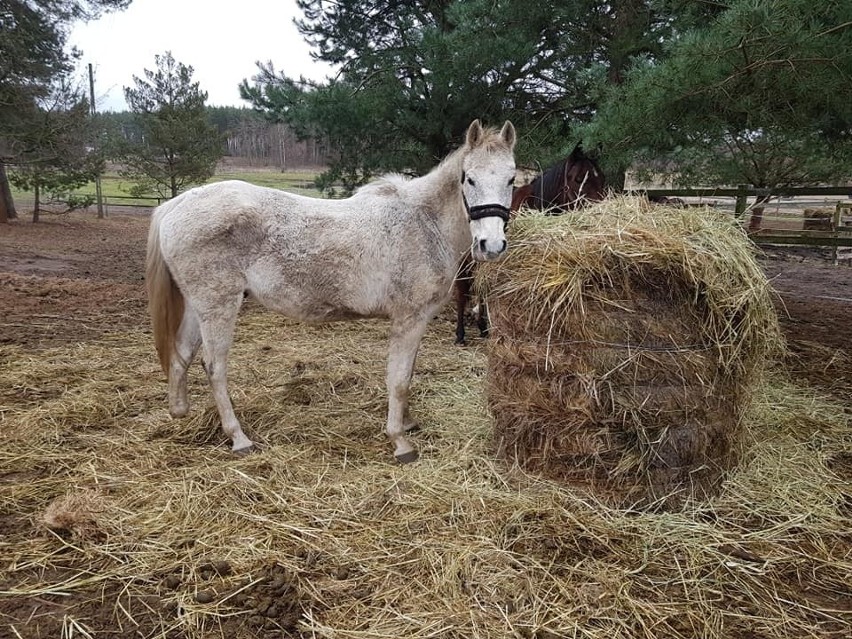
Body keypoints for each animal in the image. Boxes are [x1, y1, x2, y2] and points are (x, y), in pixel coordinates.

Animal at [146, 117, 516, 462]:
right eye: (469, 178)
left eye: (511, 179)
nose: (491, 245)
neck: (423, 222)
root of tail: (176, 204)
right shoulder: (409, 319)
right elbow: (398, 379)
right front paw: (399, 439)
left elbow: (407, 374)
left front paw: (408, 422)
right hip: (218, 305)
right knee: (214, 366)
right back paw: (238, 437)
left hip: (198, 305)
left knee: (182, 353)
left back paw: (180, 411)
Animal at [452, 145, 604, 344]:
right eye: (578, 179)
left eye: (601, 178)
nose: (600, 210)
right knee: (462, 293)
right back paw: (460, 334)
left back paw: (483, 327)